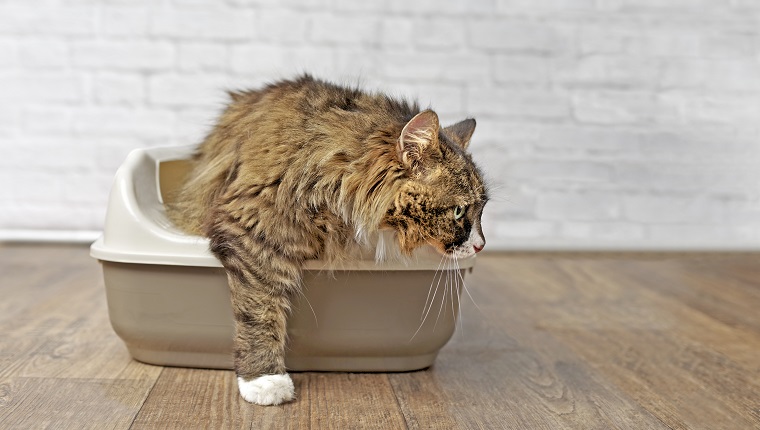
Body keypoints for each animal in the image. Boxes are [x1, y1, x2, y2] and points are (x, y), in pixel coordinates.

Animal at [166, 74, 486, 406]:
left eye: (482, 210)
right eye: (459, 211)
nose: (481, 244)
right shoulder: (252, 231)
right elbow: (260, 312)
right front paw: (265, 379)